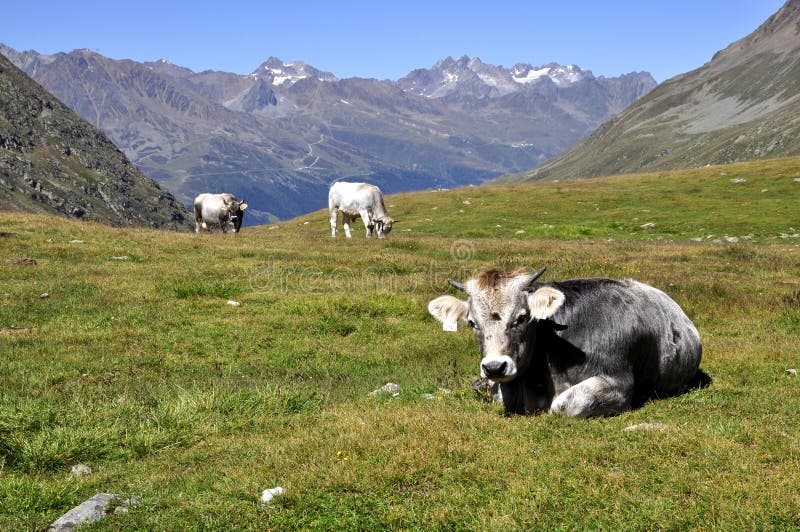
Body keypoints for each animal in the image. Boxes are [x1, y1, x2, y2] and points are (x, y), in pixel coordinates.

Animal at [424, 268, 700, 418]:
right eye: (472, 322)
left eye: (522, 318)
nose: (494, 367)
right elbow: (501, 398)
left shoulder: (618, 384)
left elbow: (562, 406)